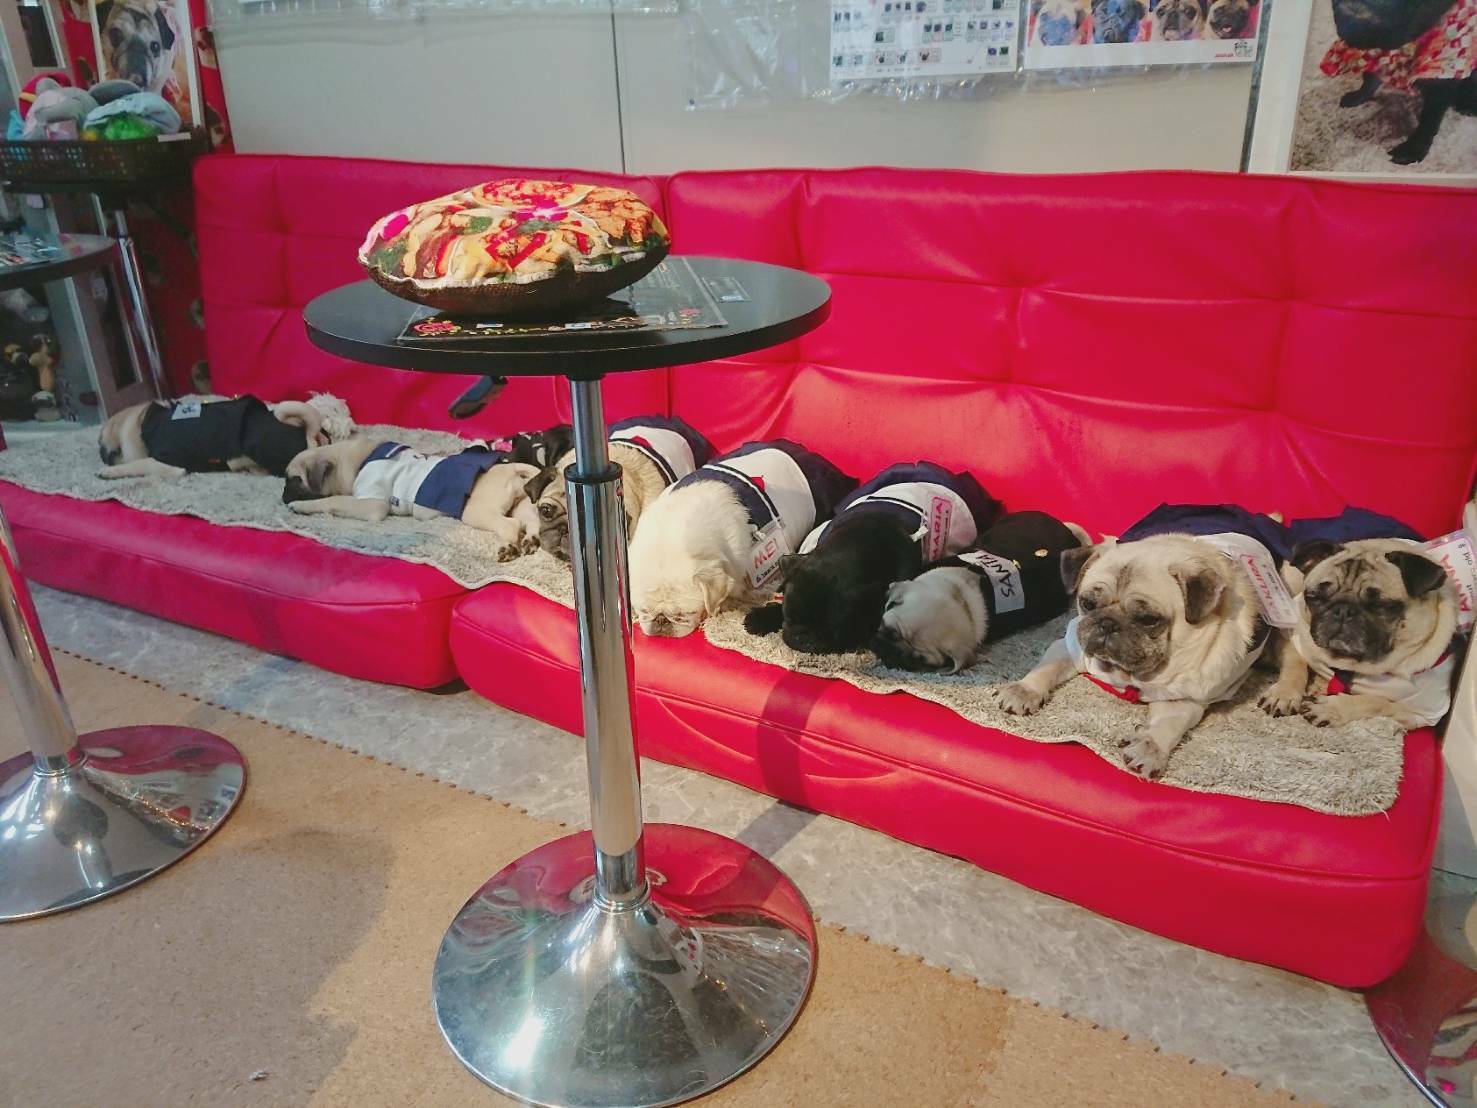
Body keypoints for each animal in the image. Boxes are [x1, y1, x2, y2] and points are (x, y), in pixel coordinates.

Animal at [98, 393, 353, 479]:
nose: (101, 454)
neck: (144, 421)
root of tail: (306, 430)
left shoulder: (167, 462)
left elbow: (136, 465)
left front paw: (109, 472)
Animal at [281, 439, 541, 560]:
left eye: (294, 479)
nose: (283, 497)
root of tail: (512, 467)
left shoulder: (372, 503)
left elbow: (334, 500)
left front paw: (302, 506)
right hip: (521, 505)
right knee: (530, 522)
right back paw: (530, 542)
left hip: (475, 511)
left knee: (511, 526)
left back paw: (508, 548)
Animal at [995, 507, 1280, 777]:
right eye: (1087, 604)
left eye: (1149, 620)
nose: (1108, 624)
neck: (1129, 675)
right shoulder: (1071, 645)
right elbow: (1046, 668)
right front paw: (1023, 690)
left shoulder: (1183, 696)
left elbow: (1168, 724)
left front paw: (1150, 747)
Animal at [1258, 537, 1459, 729]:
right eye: (1314, 598)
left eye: (1382, 606)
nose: (1343, 610)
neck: (1347, 664)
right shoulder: (1294, 637)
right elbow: (1295, 664)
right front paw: (1284, 693)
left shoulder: (1420, 714)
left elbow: (1376, 702)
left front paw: (1331, 708)